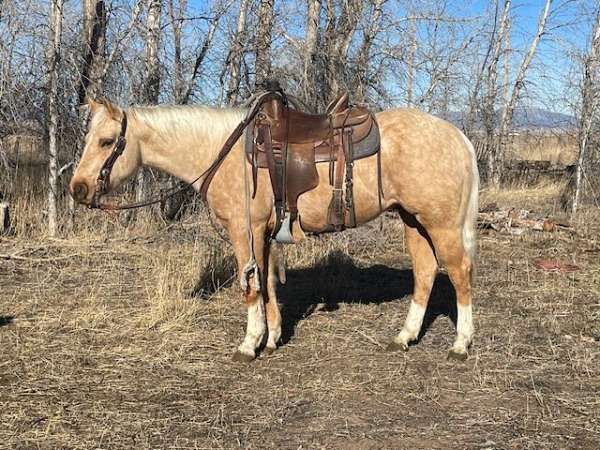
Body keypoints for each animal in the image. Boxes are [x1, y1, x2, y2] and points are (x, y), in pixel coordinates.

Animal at [69, 97, 478, 362]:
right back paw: (404, 337)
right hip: (413, 221)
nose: (78, 189)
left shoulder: (243, 231)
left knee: (459, 273)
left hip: (440, 224)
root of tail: (458, 135)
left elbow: (250, 287)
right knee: (425, 273)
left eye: (107, 141)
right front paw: (272, 338)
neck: (223, 152)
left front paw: (249, 344)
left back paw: (460, 344)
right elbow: (266, 283)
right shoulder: (262, 235)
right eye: (87, 138)